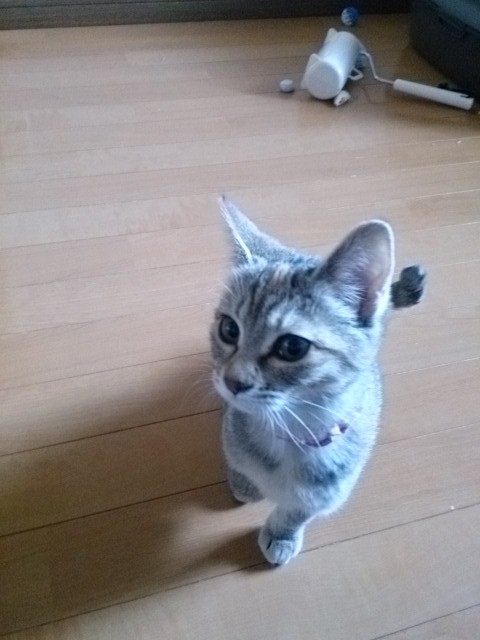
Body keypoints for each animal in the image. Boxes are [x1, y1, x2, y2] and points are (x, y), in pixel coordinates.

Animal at [210, 196, 425, 566]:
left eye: (292, 347)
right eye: (228, 329)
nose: (232, 381)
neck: (292, 431)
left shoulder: (332, 489)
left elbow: (299, 511)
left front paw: (282, 533)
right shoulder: (232, 428)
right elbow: (237, 459)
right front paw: (245, 484)